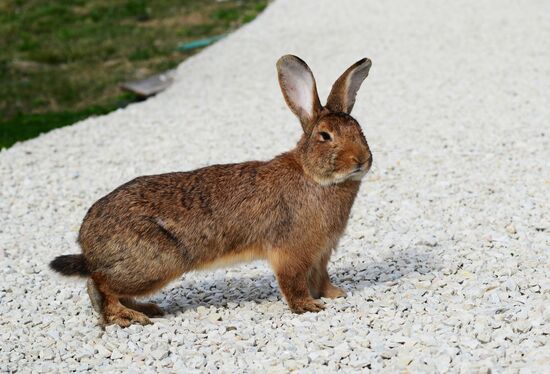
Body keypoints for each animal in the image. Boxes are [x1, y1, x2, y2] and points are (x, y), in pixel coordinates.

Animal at [50, 55, 376, 328]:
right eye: (325, 136)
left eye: (360, 130)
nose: (361, 160)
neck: (313, 176)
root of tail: (86, 240)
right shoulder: (290, 252)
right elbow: (292, 283)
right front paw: (308, 307)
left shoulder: (321, 253)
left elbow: (321, 278)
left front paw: (335, 294)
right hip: (155, 263)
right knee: (99, 284)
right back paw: (127, 317)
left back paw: (147, 309)